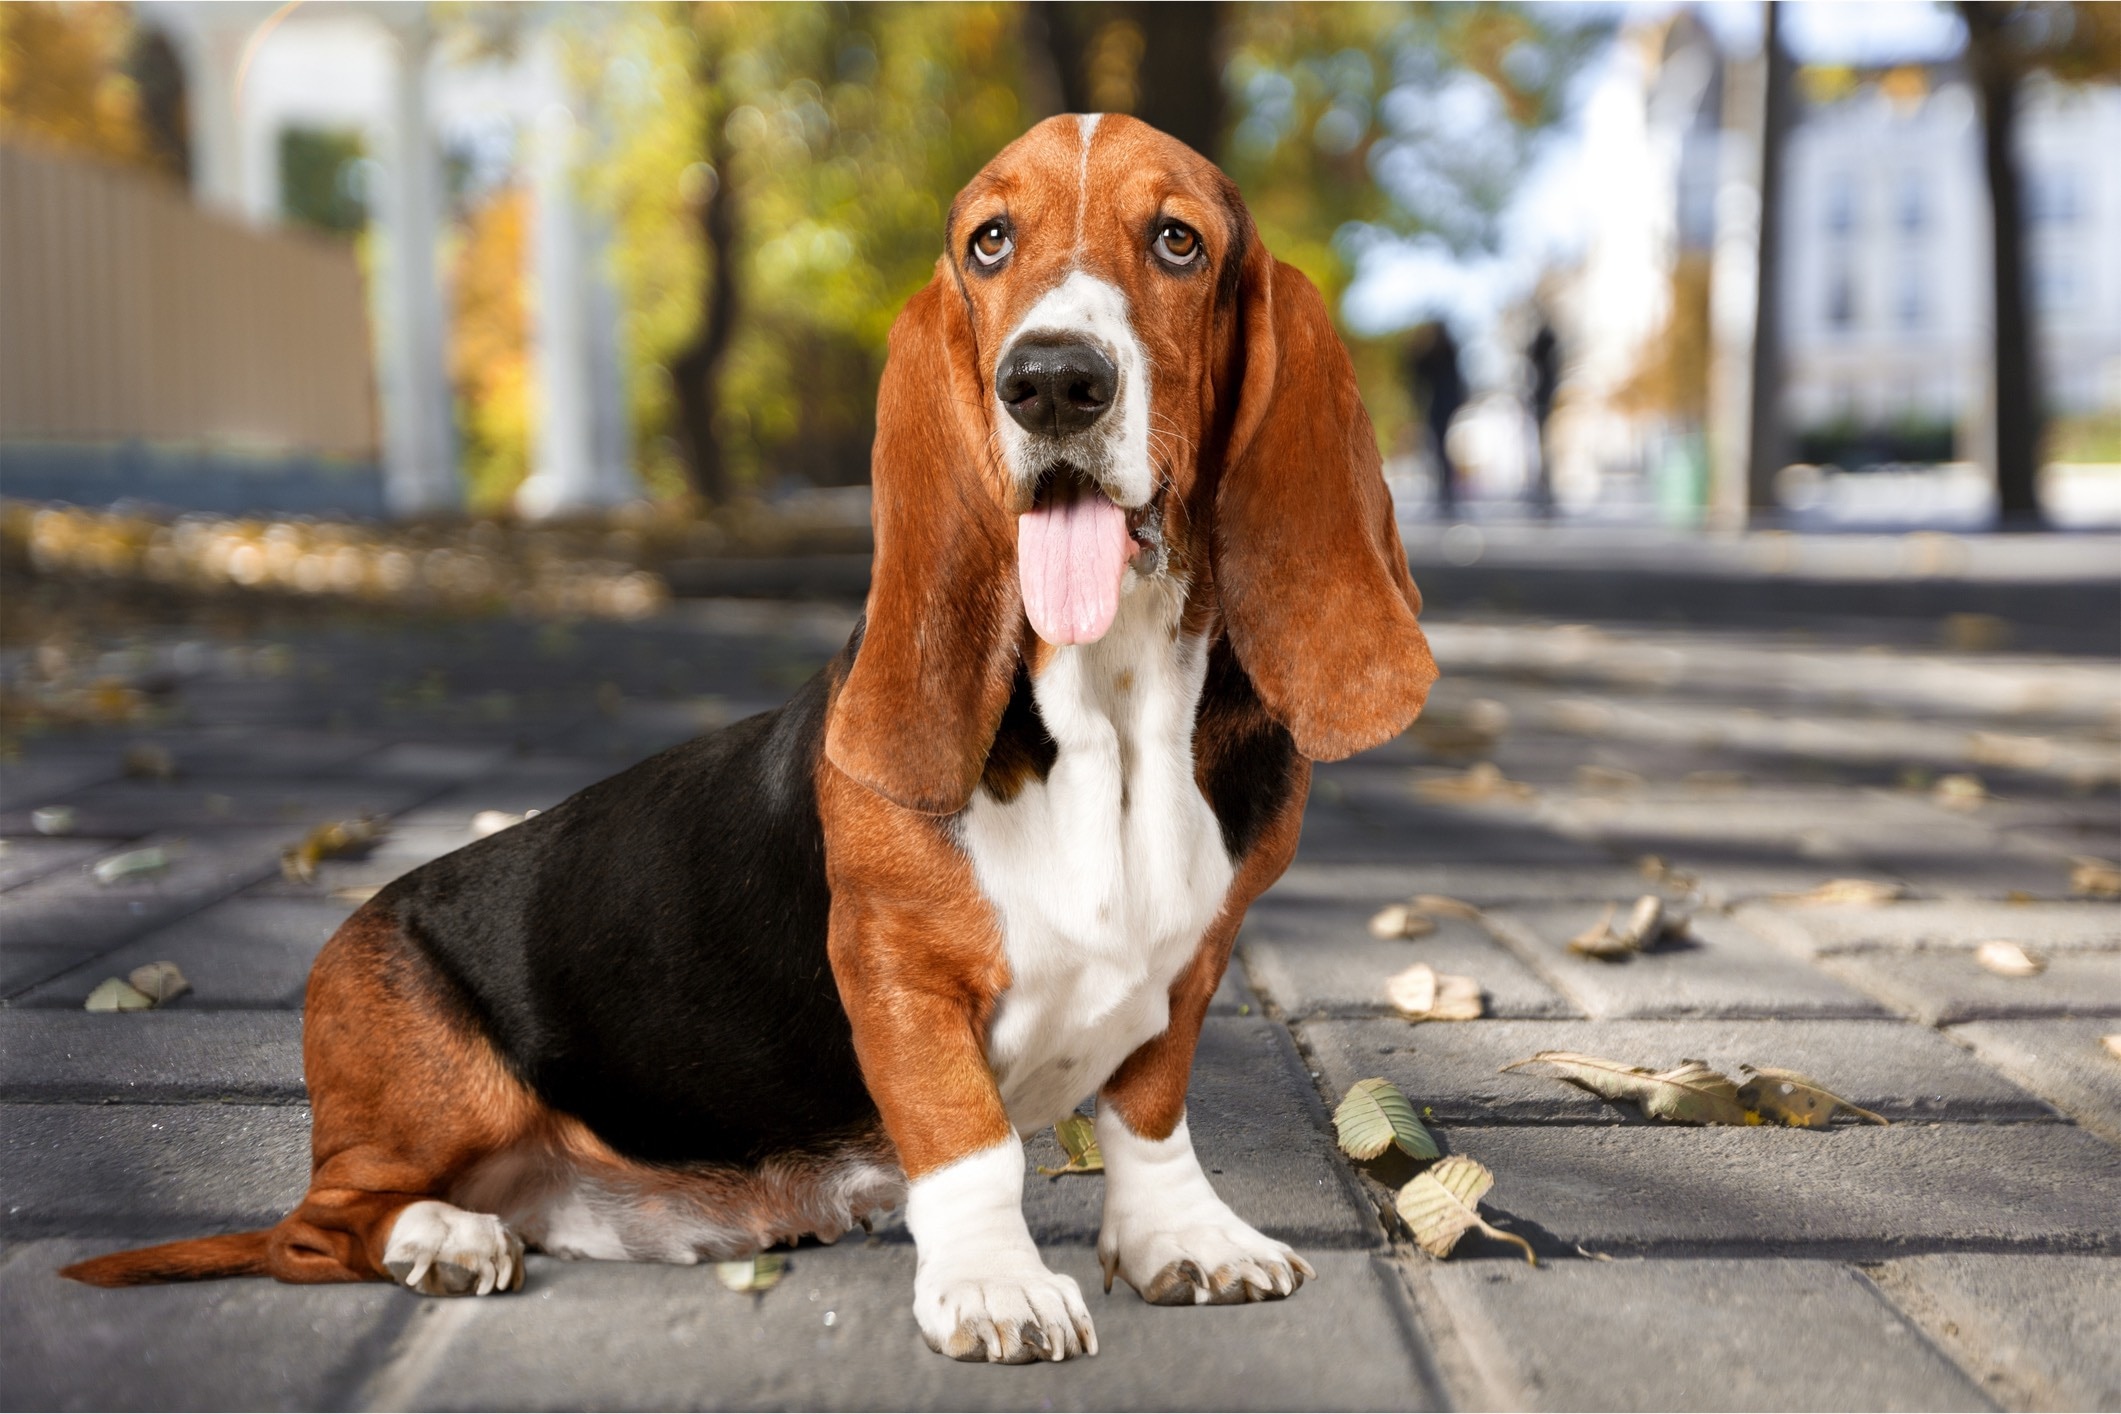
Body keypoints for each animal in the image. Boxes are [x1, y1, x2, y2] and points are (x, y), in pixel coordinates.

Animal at [66, 116, 1433, 1365]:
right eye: (988, 243)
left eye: (1178, 241)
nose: (1052, 380)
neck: (1111, 711)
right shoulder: (895, 972)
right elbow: (969, 1139)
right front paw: (995, 1283)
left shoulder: (1193, 961)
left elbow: (1150, 1114)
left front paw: (1182, 1239)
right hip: (424, 1093)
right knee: (321, 1227)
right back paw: (440, 1236)